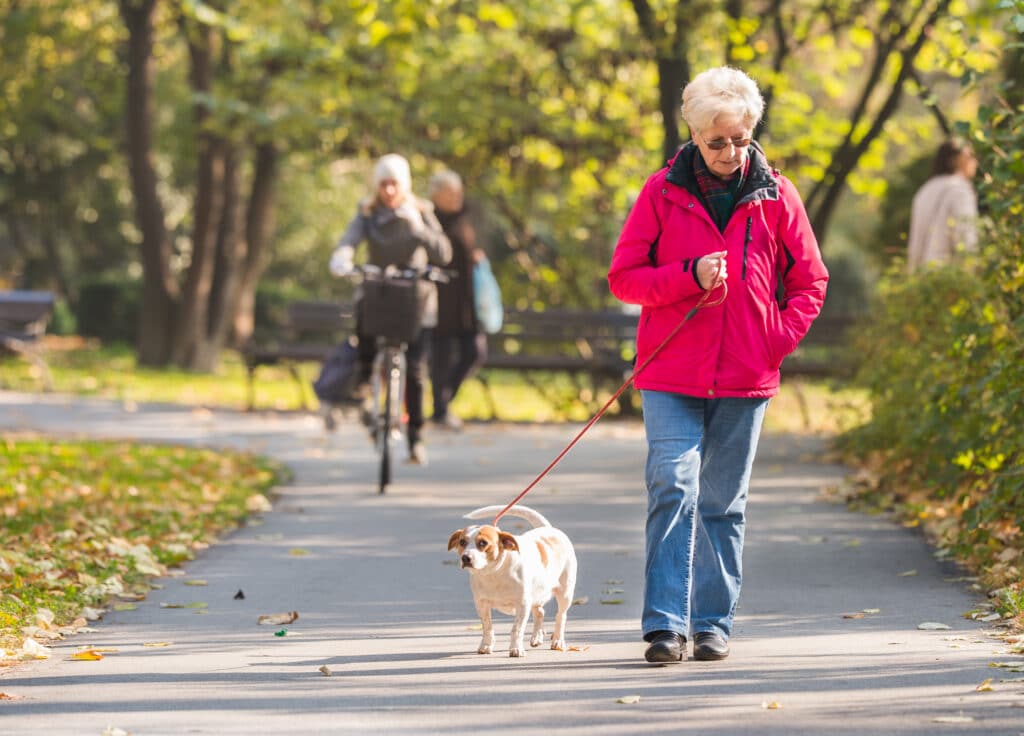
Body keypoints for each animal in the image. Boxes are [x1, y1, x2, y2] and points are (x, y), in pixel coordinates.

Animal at [446, 503, 577, 659]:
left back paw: (558, 640)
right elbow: (487, 628)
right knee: (540, 612)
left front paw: (516, 648)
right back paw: (537, 637)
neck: (494, 574)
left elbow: (517, 630)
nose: (465, 558)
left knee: (561, 616)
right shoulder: (481, 604)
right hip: (536, 594)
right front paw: (486, 646)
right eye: (462, 542)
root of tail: (549, 529)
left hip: (565, 594)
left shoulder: (522, 605)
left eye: (483, 543)